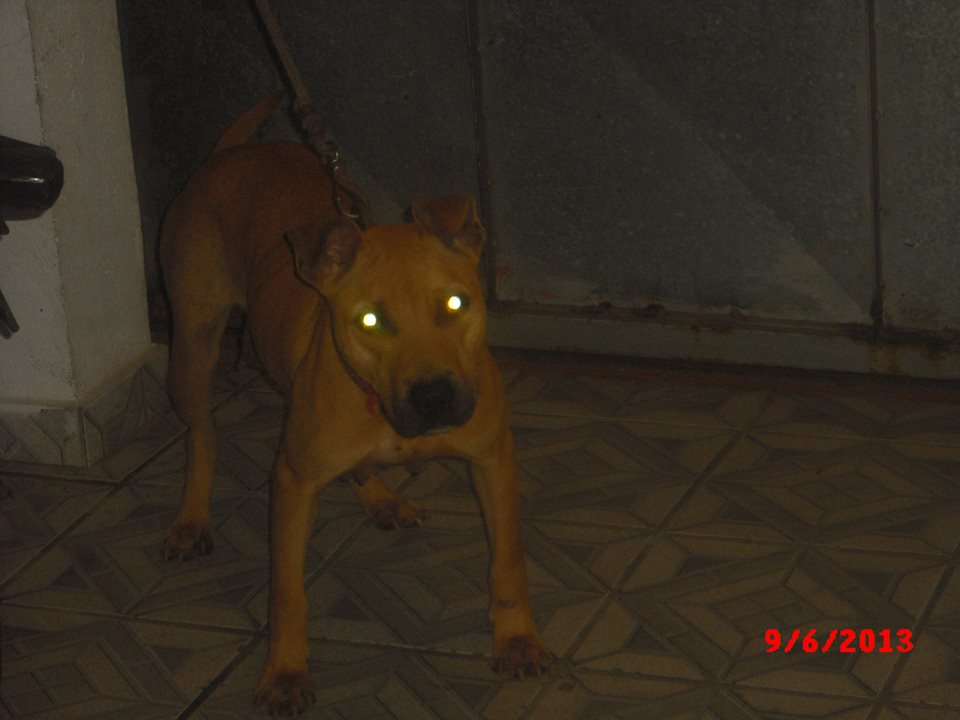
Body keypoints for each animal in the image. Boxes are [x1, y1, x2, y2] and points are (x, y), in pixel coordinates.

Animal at [159, 92, 549, 715]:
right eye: (369, 319)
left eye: (456, 303)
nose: (434, 397)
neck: (378, 409)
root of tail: (228, 153)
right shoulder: (293, 483)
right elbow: (287, 594)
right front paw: (285, 672)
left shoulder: (493, 460)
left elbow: (507, 561)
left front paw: (515, 640)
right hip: (192, 346)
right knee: (203, 436)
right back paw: (191, 518)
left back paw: (383, 498)